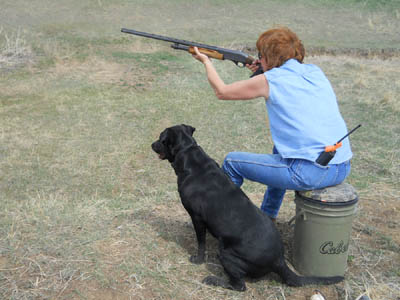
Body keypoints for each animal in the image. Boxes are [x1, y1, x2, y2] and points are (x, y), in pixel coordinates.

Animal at [152, 123, 342, 290]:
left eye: (161, 138)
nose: (151, 144)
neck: (189, 154)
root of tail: (279, 260)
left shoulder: (197, 217)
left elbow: (201, 242)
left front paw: (198, 259)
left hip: (227, 253)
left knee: (239, 285)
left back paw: (215, 280)